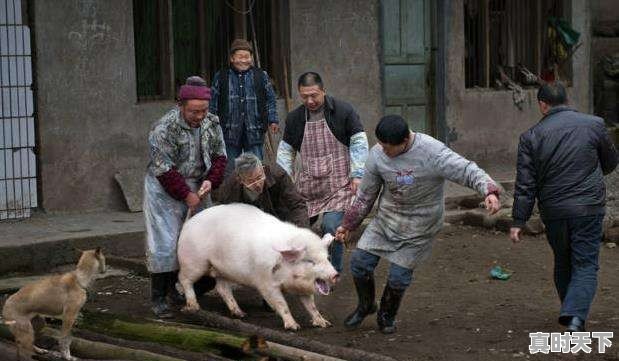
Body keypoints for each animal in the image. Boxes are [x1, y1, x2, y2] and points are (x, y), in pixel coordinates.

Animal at [177, 202, 342, 330]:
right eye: (310, 261)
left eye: (327, 258)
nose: (335, 274)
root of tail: (188, 223)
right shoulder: (266, 283)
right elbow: (281, 304)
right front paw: (293, 327)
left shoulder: (303, 289)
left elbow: (311, 306)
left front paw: (324, 324)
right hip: (194, 261)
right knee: (184, 279)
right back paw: (193, 307)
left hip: (223, 270)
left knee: (222, 288)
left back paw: (240, 314)